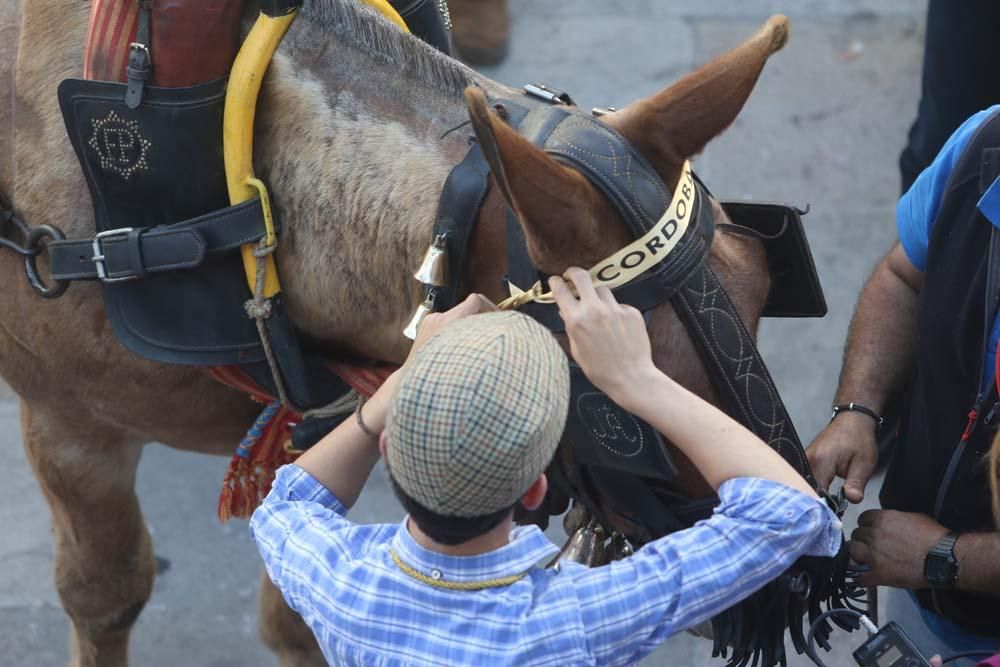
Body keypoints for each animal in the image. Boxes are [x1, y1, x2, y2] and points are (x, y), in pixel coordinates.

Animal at [1, 2, 788, 664]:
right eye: (617, 410)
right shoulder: (69, 426)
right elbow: (105, 592)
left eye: (761, 283)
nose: (795, 582)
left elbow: (298, 606)